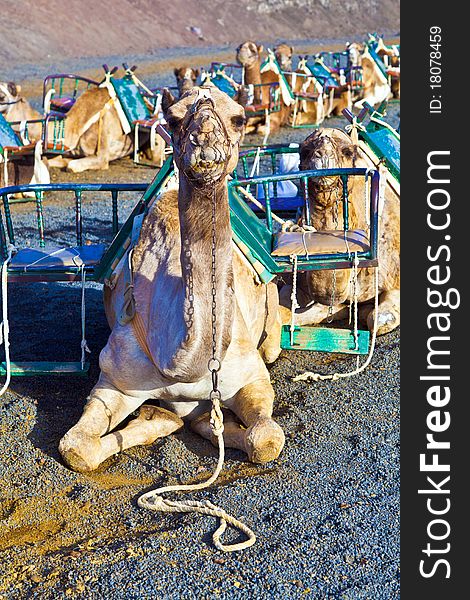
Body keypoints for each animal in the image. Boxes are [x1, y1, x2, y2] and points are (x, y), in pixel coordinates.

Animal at [58, 85, 286, 474]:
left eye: (239, 118)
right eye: (173, 118)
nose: (205, 137)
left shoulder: (252, 376)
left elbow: (266, 440)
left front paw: (207, 423)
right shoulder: (115, 381)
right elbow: (76, 447)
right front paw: (161, 418)